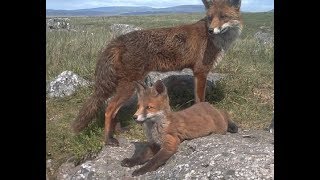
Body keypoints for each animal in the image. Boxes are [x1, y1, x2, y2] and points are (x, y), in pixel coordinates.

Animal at [72, 0, 242, 146]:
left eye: (223, 17)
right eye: (210, 18)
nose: (211, 30)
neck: (215, 40)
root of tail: (118, 40)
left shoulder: (197, 73)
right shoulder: (201, 72)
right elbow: (201, 100)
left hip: (124, 86)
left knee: (112, 108)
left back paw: (118, 130)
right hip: (129, 86)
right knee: (109, 110)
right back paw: (108, 139)